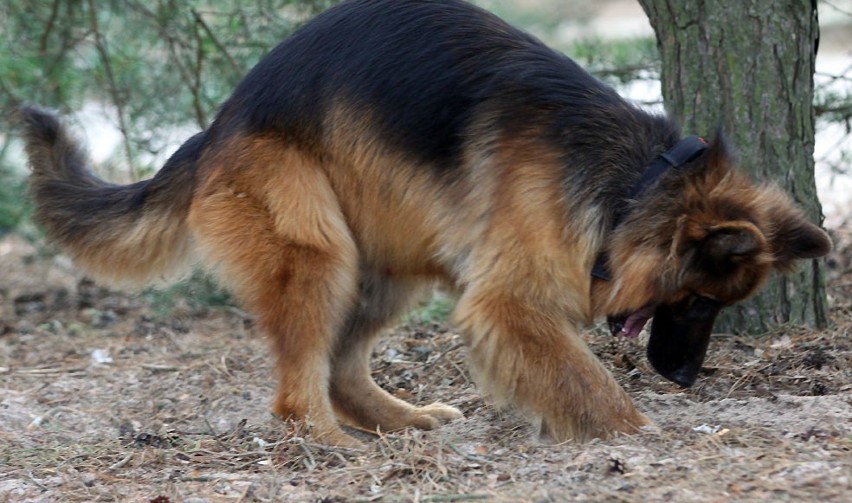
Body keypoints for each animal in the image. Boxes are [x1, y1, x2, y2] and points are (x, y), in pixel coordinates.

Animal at [21, 0, 832, 448]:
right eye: (696, 302)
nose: (686, 378)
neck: (638, 181)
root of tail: (216, 125)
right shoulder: (508, 302)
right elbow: (583, 375)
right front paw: (636, 431)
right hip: (318, 249)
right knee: (297, 393)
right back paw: (332, 444)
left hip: (382, 262)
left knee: (342, 369)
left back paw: (398, 420)